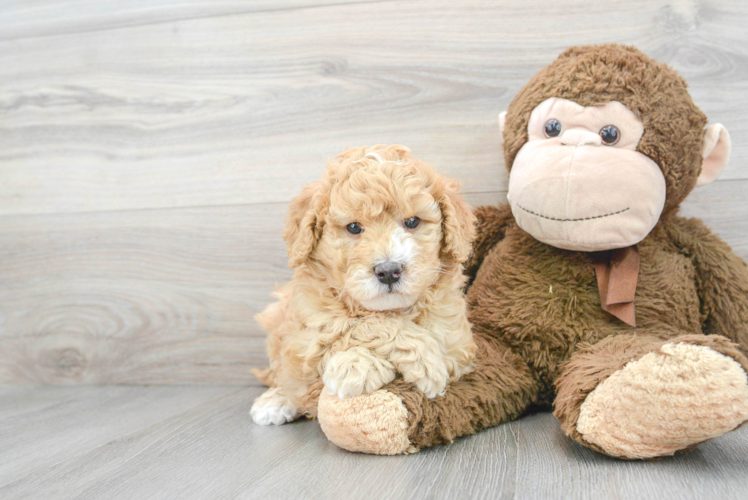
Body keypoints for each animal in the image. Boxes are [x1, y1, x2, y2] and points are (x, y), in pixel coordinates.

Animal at [248, 143, 476, 424]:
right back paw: (274, 401)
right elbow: (355, 328)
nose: (388, 271)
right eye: (354, 227)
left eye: (412, 222)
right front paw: (357, 365)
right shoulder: (303, 344)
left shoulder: (457, 346)